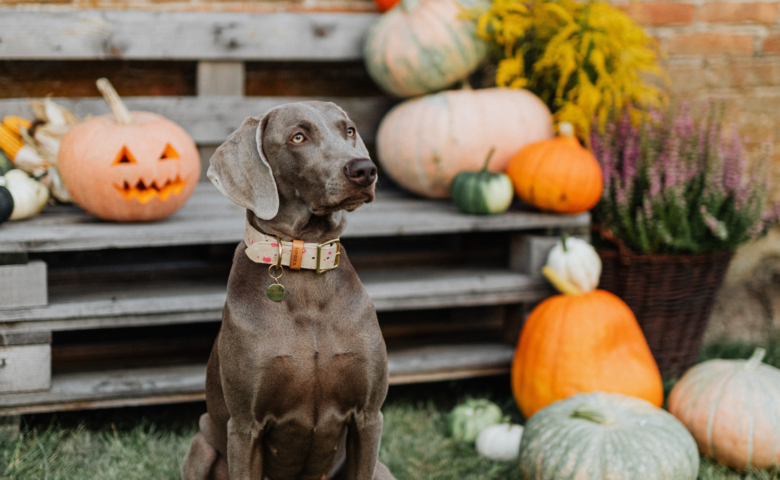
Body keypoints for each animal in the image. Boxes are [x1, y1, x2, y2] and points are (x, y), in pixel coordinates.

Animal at [178, 101, 396, 480]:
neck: (304, 265)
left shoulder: (369, 416)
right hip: (200, 448)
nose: (364, 169)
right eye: (298, 137)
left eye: (349, 130)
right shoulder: (245, 426)